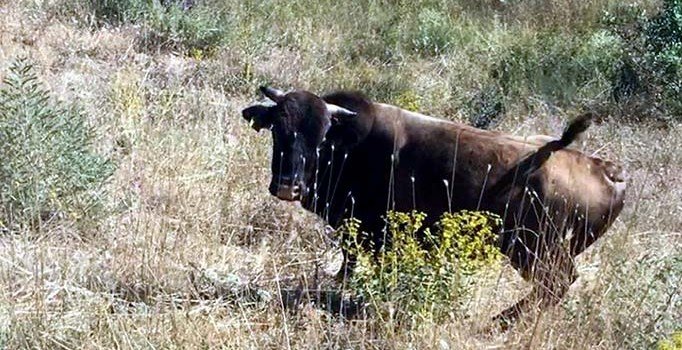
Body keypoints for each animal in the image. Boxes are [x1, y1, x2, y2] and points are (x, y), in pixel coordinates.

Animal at [242, 86, 624, 322]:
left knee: (555, 284)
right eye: (278, 129)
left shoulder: (374, 232)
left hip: (536, 251)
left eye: (322, 137)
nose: (288, 187)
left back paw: (497, 321)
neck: (353, 144)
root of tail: (604, 168)